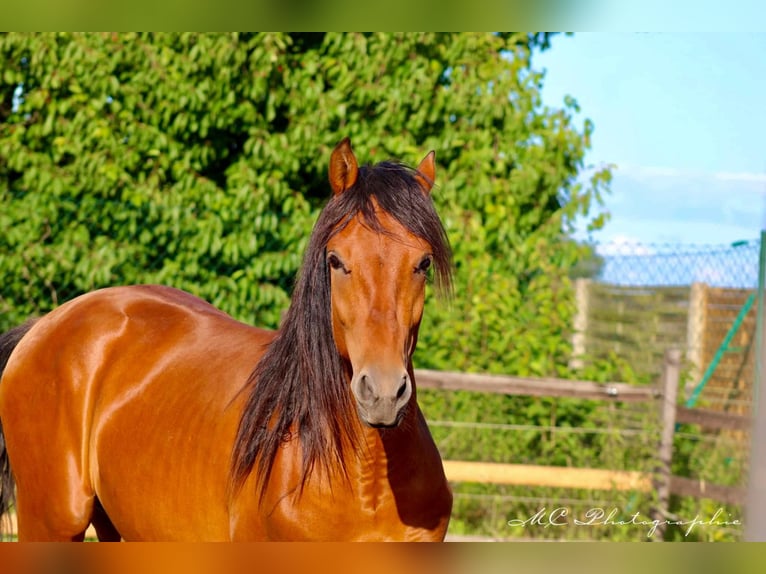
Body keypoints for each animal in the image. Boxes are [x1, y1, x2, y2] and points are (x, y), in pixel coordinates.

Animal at [0, 140, 456, 544]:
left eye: (423, 263)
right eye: (336, 260)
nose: (383, 393)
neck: (367, 483)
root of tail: (44, 326)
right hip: (51, 523)